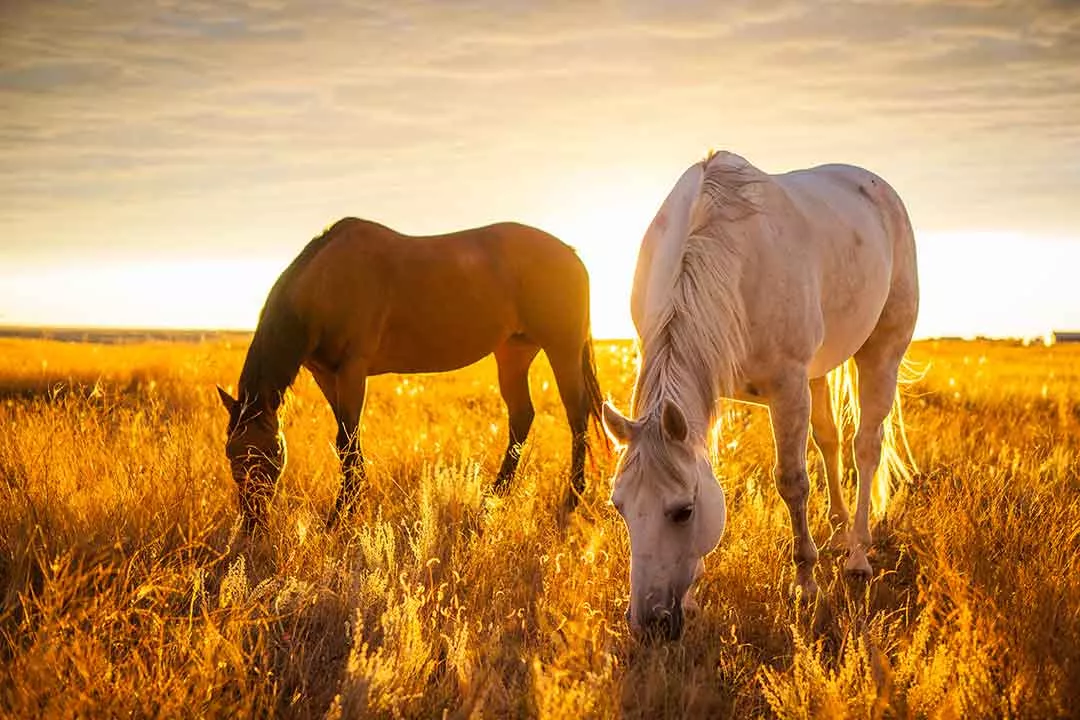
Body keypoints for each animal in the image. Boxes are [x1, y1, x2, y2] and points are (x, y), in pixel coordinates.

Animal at [217, 217, 605, 532]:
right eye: (231, 453)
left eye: (270, 455)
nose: (252, 523)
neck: (325, 282)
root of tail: (570, 254)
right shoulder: (326, 375)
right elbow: (347, 443)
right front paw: (350, 507)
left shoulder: (353, 370)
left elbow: (348, 441)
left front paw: (340, 516)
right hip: (514, 352)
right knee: (522, 415)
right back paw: (494, 498)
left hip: (561, 349)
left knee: (576, 414)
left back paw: (571, 498)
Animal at [602, 151, 919, 640]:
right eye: (619, 507)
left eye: (683, 511)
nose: (648, 624)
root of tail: (877, 187)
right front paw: (693, 596)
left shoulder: (787, 387)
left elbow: (792, 482)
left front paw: (805, 584)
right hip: (818, 373)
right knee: (830, 441)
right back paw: (839, 531)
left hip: (882, 351)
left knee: (866, 447)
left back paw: (857, 555)